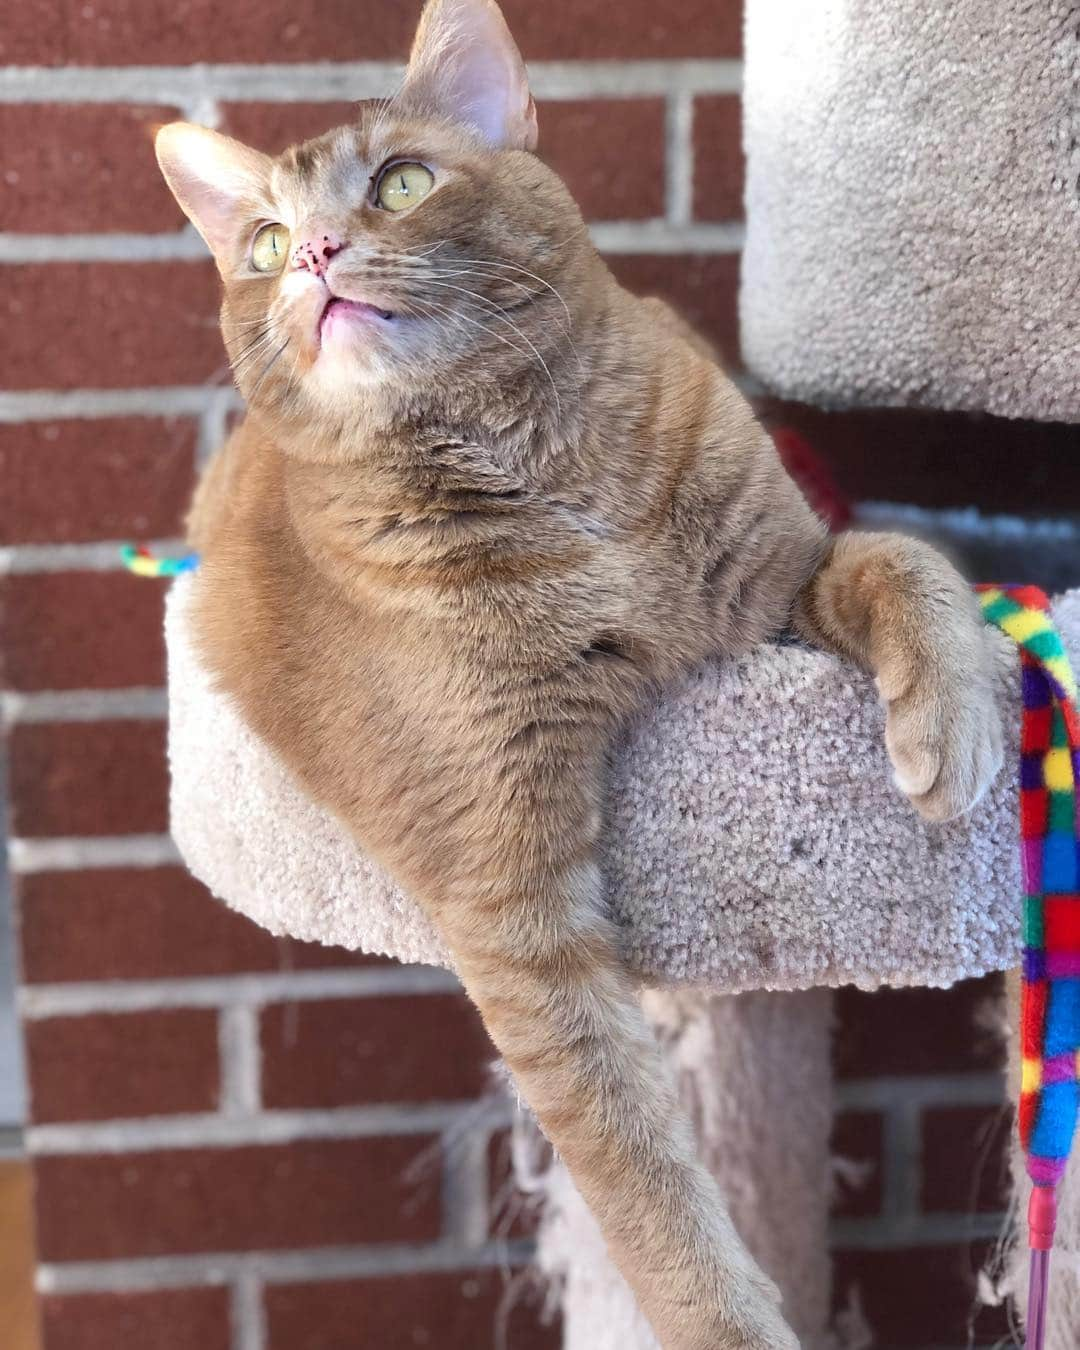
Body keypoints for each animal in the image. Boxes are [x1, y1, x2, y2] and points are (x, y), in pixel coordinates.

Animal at [157, 5, 1004, 1344]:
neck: (543, 470)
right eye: (265, 244)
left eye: (403, 182)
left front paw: (954, 726)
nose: (317, 255)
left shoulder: (787, 583)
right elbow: (636, 1163)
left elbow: (902, 558)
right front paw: (729, 1322)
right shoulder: (511, 899)